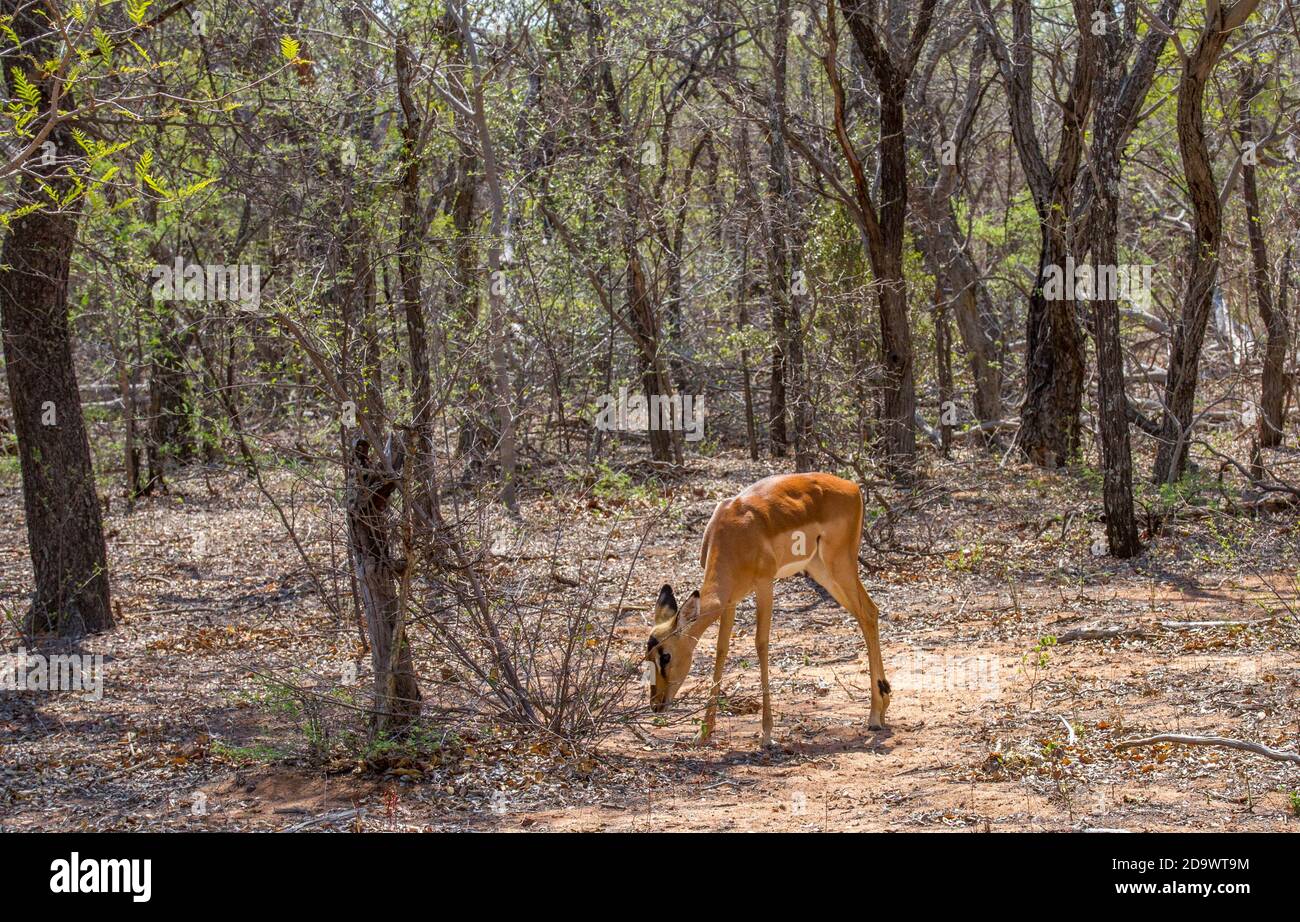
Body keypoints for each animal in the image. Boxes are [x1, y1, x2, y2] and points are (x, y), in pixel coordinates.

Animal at [645, 472, 890, 746]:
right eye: (647, 656)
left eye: (666, 656)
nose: (656, 704)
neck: (734, 533)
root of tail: (853, 487)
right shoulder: (730, 600)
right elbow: (721, 650)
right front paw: (703, 732)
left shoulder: (764, 585)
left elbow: (761, 643)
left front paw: (766, 733)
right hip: (822, 570)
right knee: (869, 612)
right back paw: (881, 708)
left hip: (839, 564)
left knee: (867, 613)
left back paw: (874, 716)